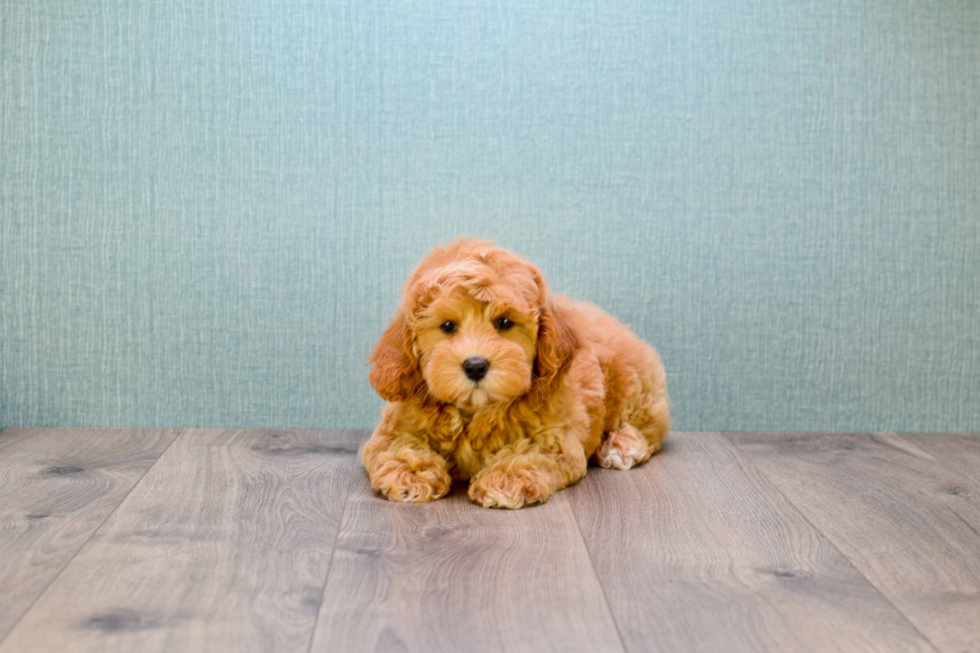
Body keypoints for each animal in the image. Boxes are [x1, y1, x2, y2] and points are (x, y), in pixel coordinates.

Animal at [364, 239, 668, 510]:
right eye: (448, 326)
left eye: (504, 322)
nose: (475, 365)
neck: (475, 411)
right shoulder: (397, 424)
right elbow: (397, 444)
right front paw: (409, 472)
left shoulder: (556, 438)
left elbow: (529, 454)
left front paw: (505, 480)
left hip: (635, 384)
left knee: (649, 425)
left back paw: (622, 445)